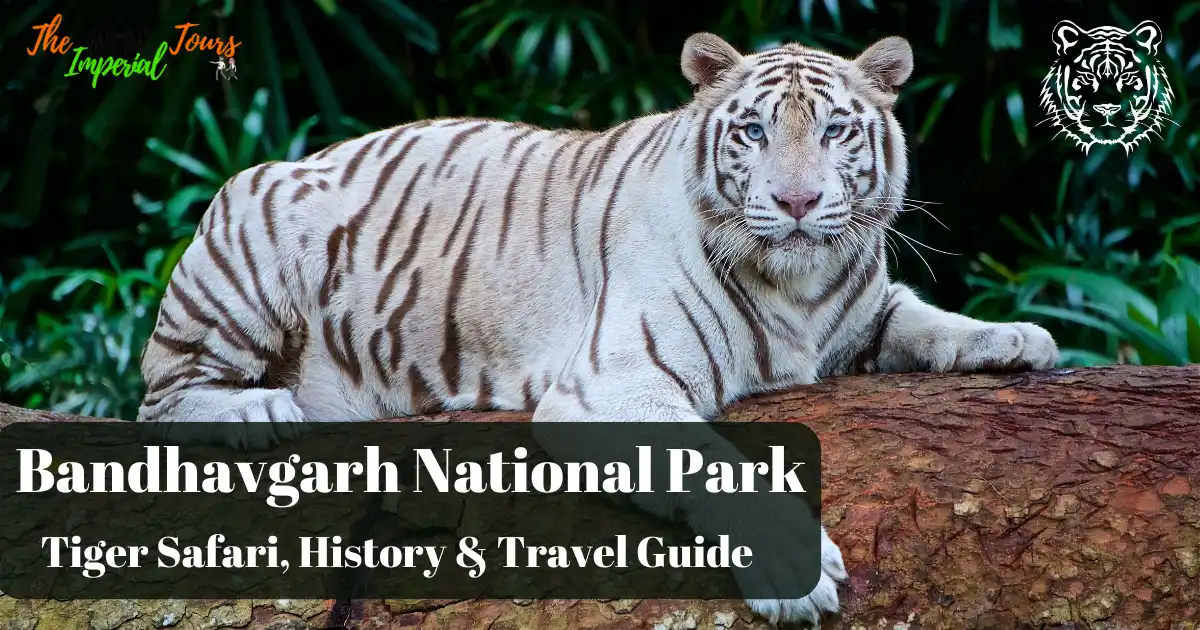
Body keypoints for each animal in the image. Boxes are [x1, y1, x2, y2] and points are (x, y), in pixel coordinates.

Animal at [137, 32, 1059, 625]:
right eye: (754, 130)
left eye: (834, 129)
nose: (797, 202)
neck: (800, 286)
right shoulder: (616, 379)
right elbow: (716, 467)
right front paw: (795, 571)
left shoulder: (862, 311)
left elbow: (925, 318)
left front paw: (1019, 336)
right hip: (251, 238)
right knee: (161, 398)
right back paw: (257, 411)